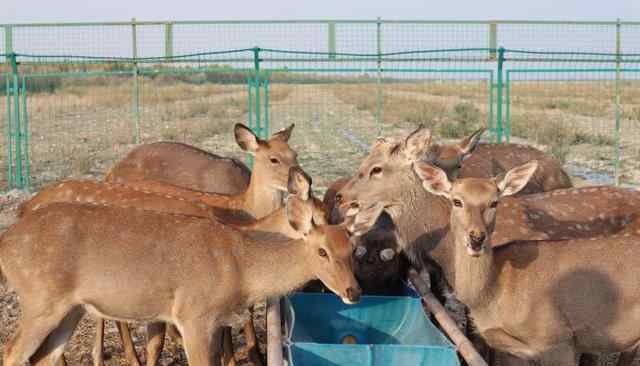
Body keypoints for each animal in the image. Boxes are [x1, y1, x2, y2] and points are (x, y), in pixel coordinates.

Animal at [0, 192, 380, 366]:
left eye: (353, 248)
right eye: (322, 251)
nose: (353, 292)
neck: (242, 271)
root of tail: (6, 243)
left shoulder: (211, 322)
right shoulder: (193, 314)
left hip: (71, 308)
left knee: (42, 358)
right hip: (40, 298)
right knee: (12, 353)